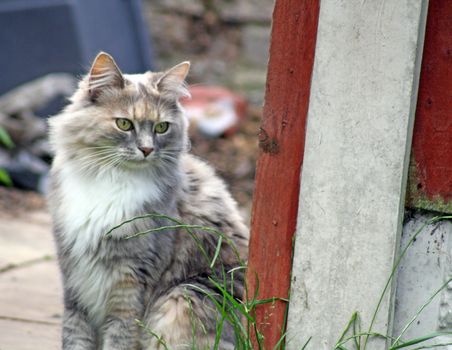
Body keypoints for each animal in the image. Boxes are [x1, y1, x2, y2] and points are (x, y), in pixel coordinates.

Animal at [47, 52, 249, 350]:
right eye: (124, 124)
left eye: (161, 127)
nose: (146, 149)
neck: (111, 180)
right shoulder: (74, 281)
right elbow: (75, 337)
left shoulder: (132, 282)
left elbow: (120, 337)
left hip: (184, 297)